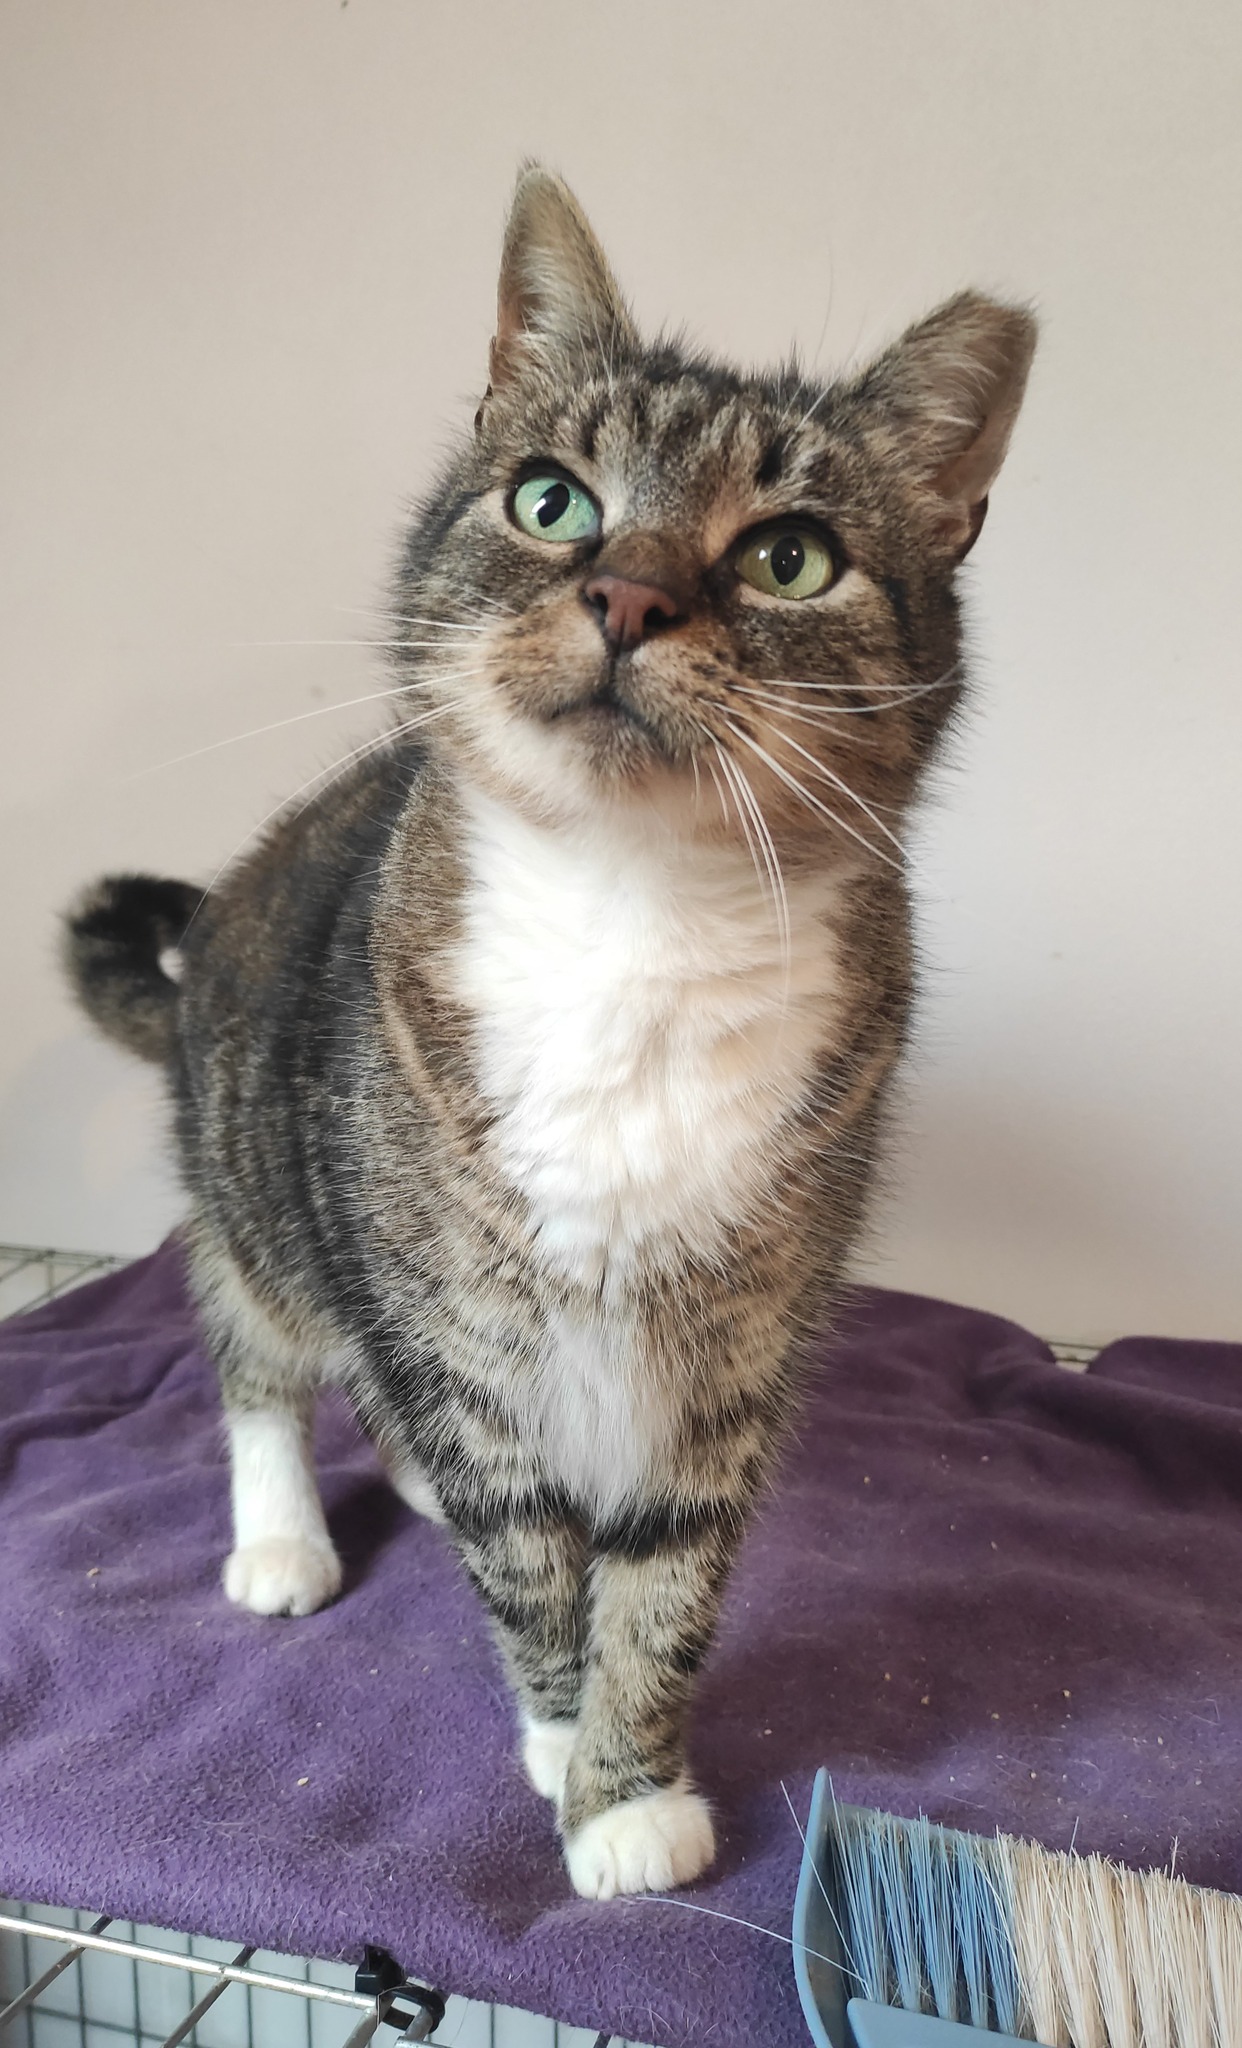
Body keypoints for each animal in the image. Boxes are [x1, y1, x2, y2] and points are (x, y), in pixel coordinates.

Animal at [64, 167, 1035, 1899]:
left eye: (791, 558)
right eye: (549, 502)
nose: (629, 594)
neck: (632, 929)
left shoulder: (734, 1347)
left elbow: (664, 1579)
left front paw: (624, 1786)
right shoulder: (451, 1315)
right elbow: (530, 1560)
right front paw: (561, 1736)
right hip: (264, 1185)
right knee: (259, 1355)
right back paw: (281, 1535)